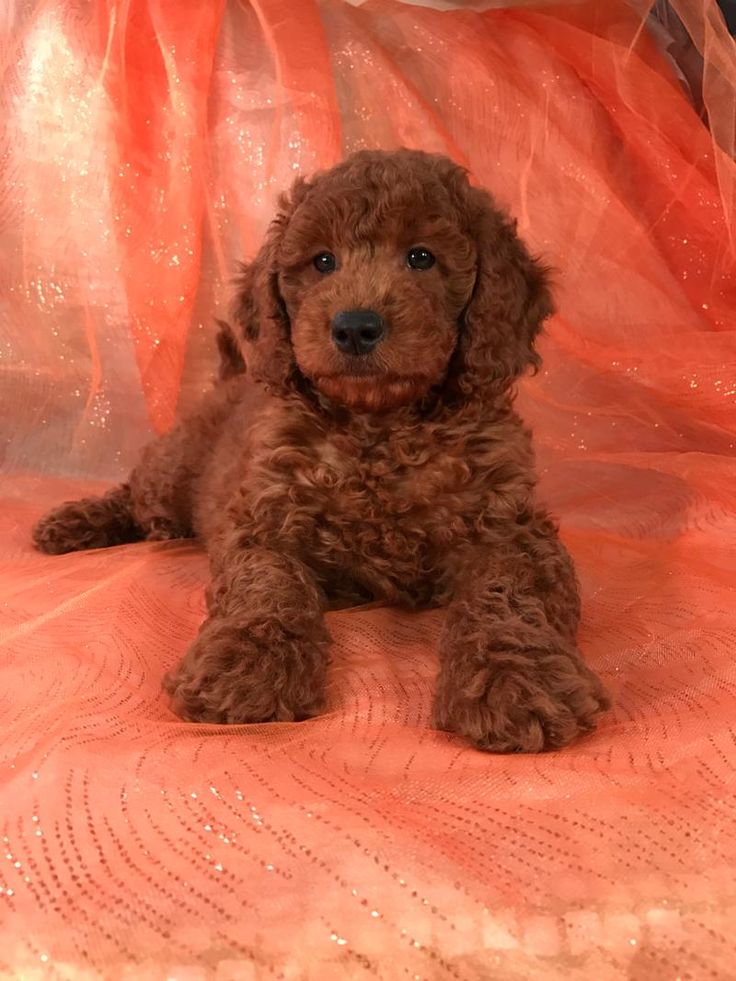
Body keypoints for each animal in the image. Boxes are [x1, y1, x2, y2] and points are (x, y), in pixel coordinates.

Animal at [33, 149, 608, 756]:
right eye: (323, 261)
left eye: (421, 257)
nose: (355, 326)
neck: (379, 429)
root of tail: (231, 376)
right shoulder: (263, 524)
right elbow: (268, 587)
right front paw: (248, 665)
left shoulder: (512, 530)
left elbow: (509, 594)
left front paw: (515, 678)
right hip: (172, 473)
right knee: (138, 492)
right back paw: (70, 523)